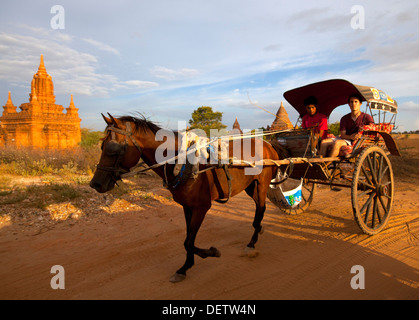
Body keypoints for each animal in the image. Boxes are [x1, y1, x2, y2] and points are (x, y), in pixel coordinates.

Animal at [90, 113, 288, 282]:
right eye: (101, 146)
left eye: (114, 148)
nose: (95, 184)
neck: (182, 162)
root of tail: (269, 145)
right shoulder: (187, 206)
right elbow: (188, 239)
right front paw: (185, 267)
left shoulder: (202, 207)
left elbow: (188, 241)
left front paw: (210, 253)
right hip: (250, 186)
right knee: (258, 211)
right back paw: (258, 230)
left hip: (261, 185)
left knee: (261, 209)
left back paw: (252, 243)